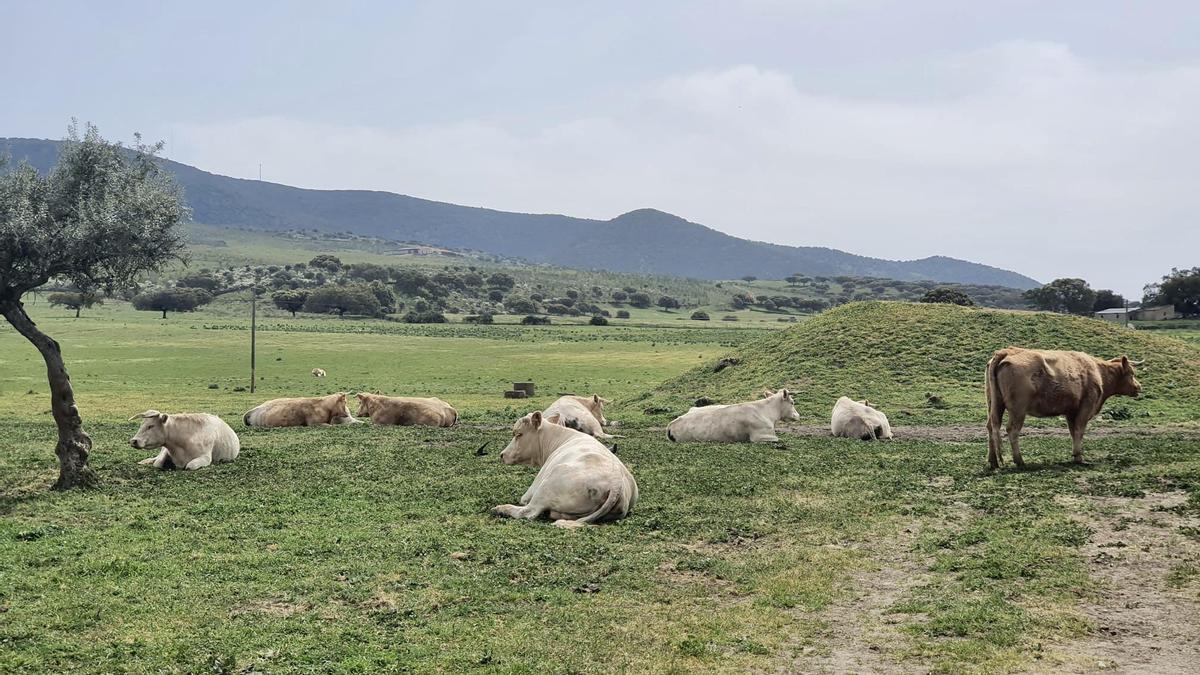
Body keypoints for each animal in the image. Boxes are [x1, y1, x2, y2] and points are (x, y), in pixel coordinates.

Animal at [492, 408, 638, 528]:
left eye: (518, 434)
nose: (502, 455)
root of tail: (616, 483)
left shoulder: (531, 491)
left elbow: (524, 500)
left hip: (548, 484)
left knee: (528, 512)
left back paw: (501, 509)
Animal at [984, 343, 1142, 466]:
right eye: (1131, 373)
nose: (1139, 387)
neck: (1099, 372)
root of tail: (1007, 351)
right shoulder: (1086, 407)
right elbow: (1079, 430)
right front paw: (1079, 457)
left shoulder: (1071, 411)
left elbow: (1073, 432)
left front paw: (1076, 455)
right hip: (1018, 410)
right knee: (1012, 430)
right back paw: (1020, 461)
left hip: (994, 405)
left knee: (991, 427)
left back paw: (993, 461)